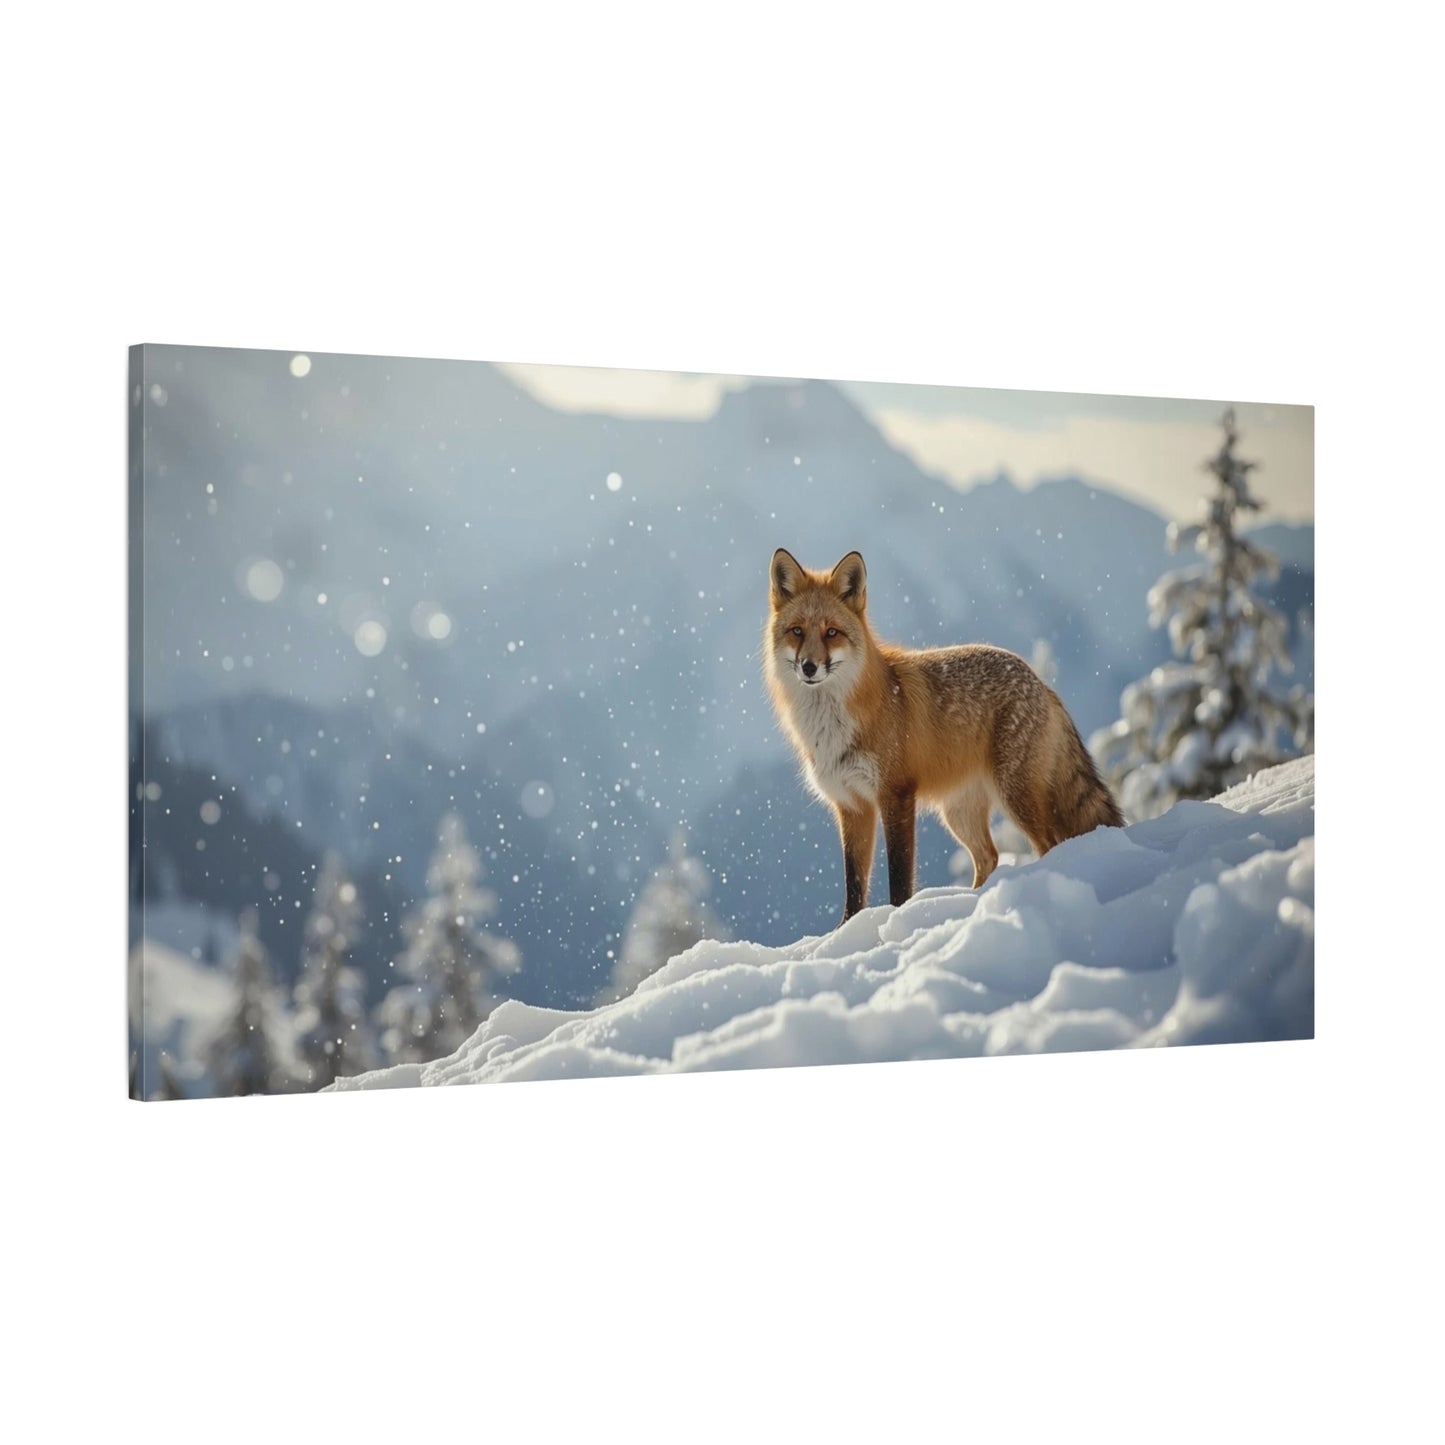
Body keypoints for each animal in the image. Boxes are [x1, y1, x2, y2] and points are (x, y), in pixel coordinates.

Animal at [765, 548, 1124, 924]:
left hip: (1016, 796)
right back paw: (970, 903)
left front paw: (896, 923)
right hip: (959, 814)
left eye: (832, 632)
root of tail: (1040, 680)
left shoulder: (896, 794)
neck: (834, 726)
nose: (809, 667)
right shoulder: (852, 805)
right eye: (797, 631)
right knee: (989, 857)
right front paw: (846, 931)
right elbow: (854, 887)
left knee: (1049, 844)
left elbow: (900, 880)